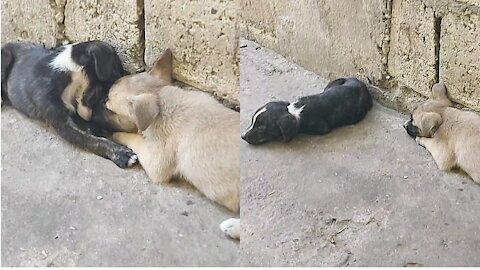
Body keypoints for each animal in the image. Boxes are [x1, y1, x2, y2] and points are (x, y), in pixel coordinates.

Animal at [95, 49, 240, 238]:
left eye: (108, 106)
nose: (92, 107)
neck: (161, 98)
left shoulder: (156, 160)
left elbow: (134, 138)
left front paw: (116, 134)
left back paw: (234, 227)